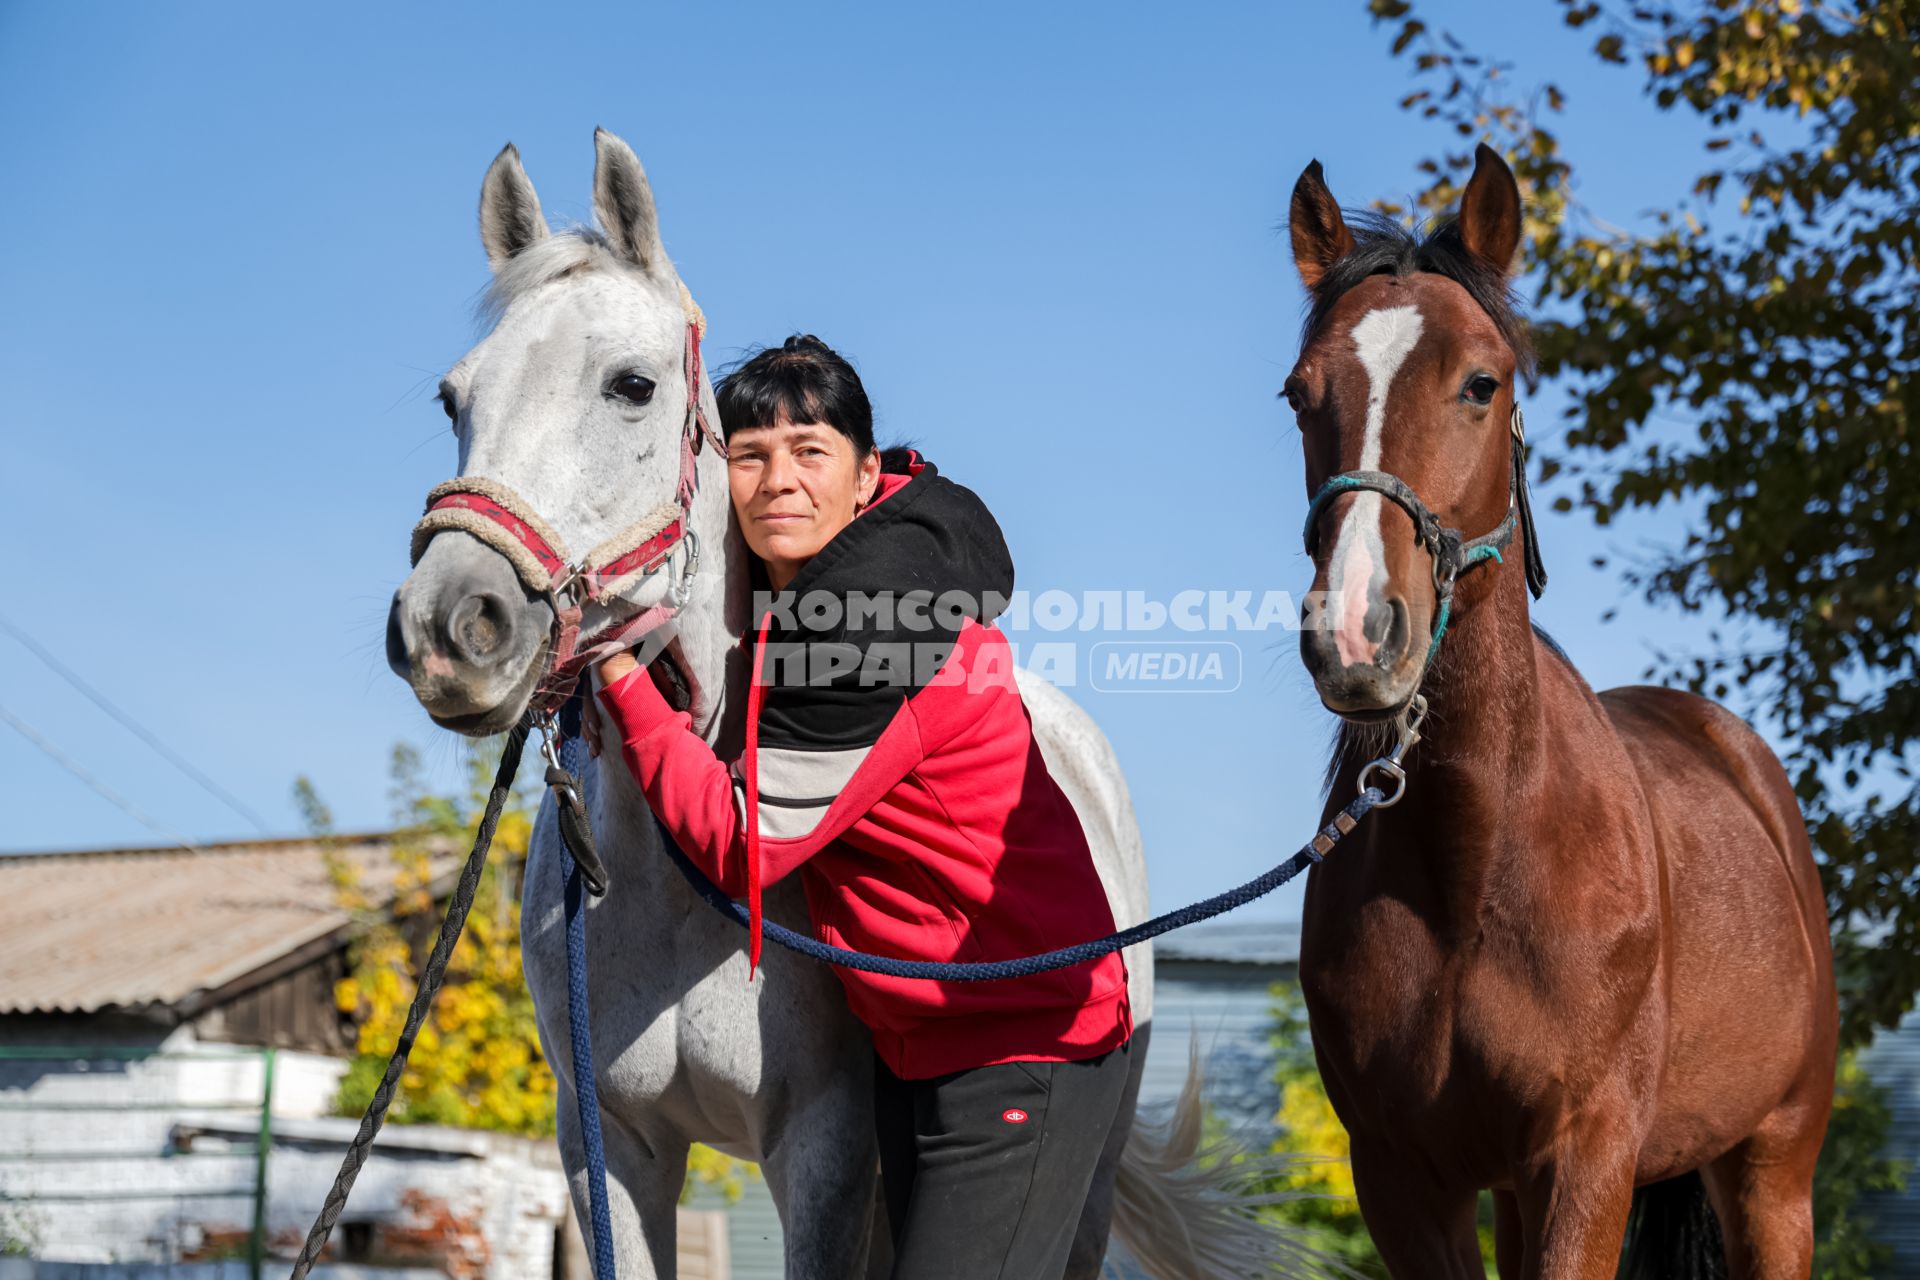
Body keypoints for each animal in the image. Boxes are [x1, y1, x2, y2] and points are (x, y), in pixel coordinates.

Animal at [389, 130, 1320, 1280]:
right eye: (453, 397)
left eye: (632, 385)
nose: (448, 625)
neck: (672, 885)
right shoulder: (607, 1145)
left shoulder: (823, 1151)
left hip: (1084, 1177)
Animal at [1282, 144, 1835, 1274]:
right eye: (1298, 394)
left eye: (1481, 384)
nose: (1356, 633)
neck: (1475, 861)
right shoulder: (1403, 1179)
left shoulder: (1588, 1157)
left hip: (1774, 1166)